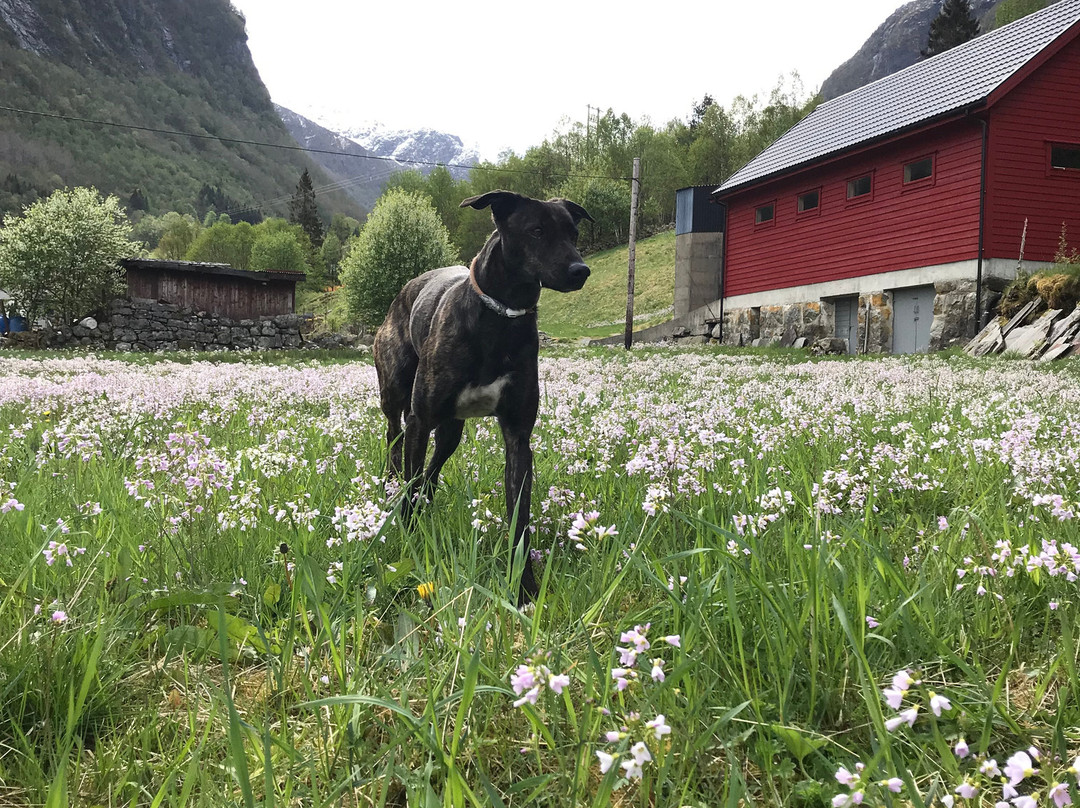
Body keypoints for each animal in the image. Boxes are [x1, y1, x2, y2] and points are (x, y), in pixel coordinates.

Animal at [371, 192, 591, 604]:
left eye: (573, 232)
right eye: (536, 231)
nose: (580, 270)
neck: (501, 317)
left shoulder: (518, 437)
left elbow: (519, 518)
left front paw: (524, 587)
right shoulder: (421, 420)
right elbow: (410, 482)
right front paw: (409, 538)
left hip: (451, 431)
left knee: (432, 471)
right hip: (397, 399)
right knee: (396, 446)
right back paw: (391, 492)